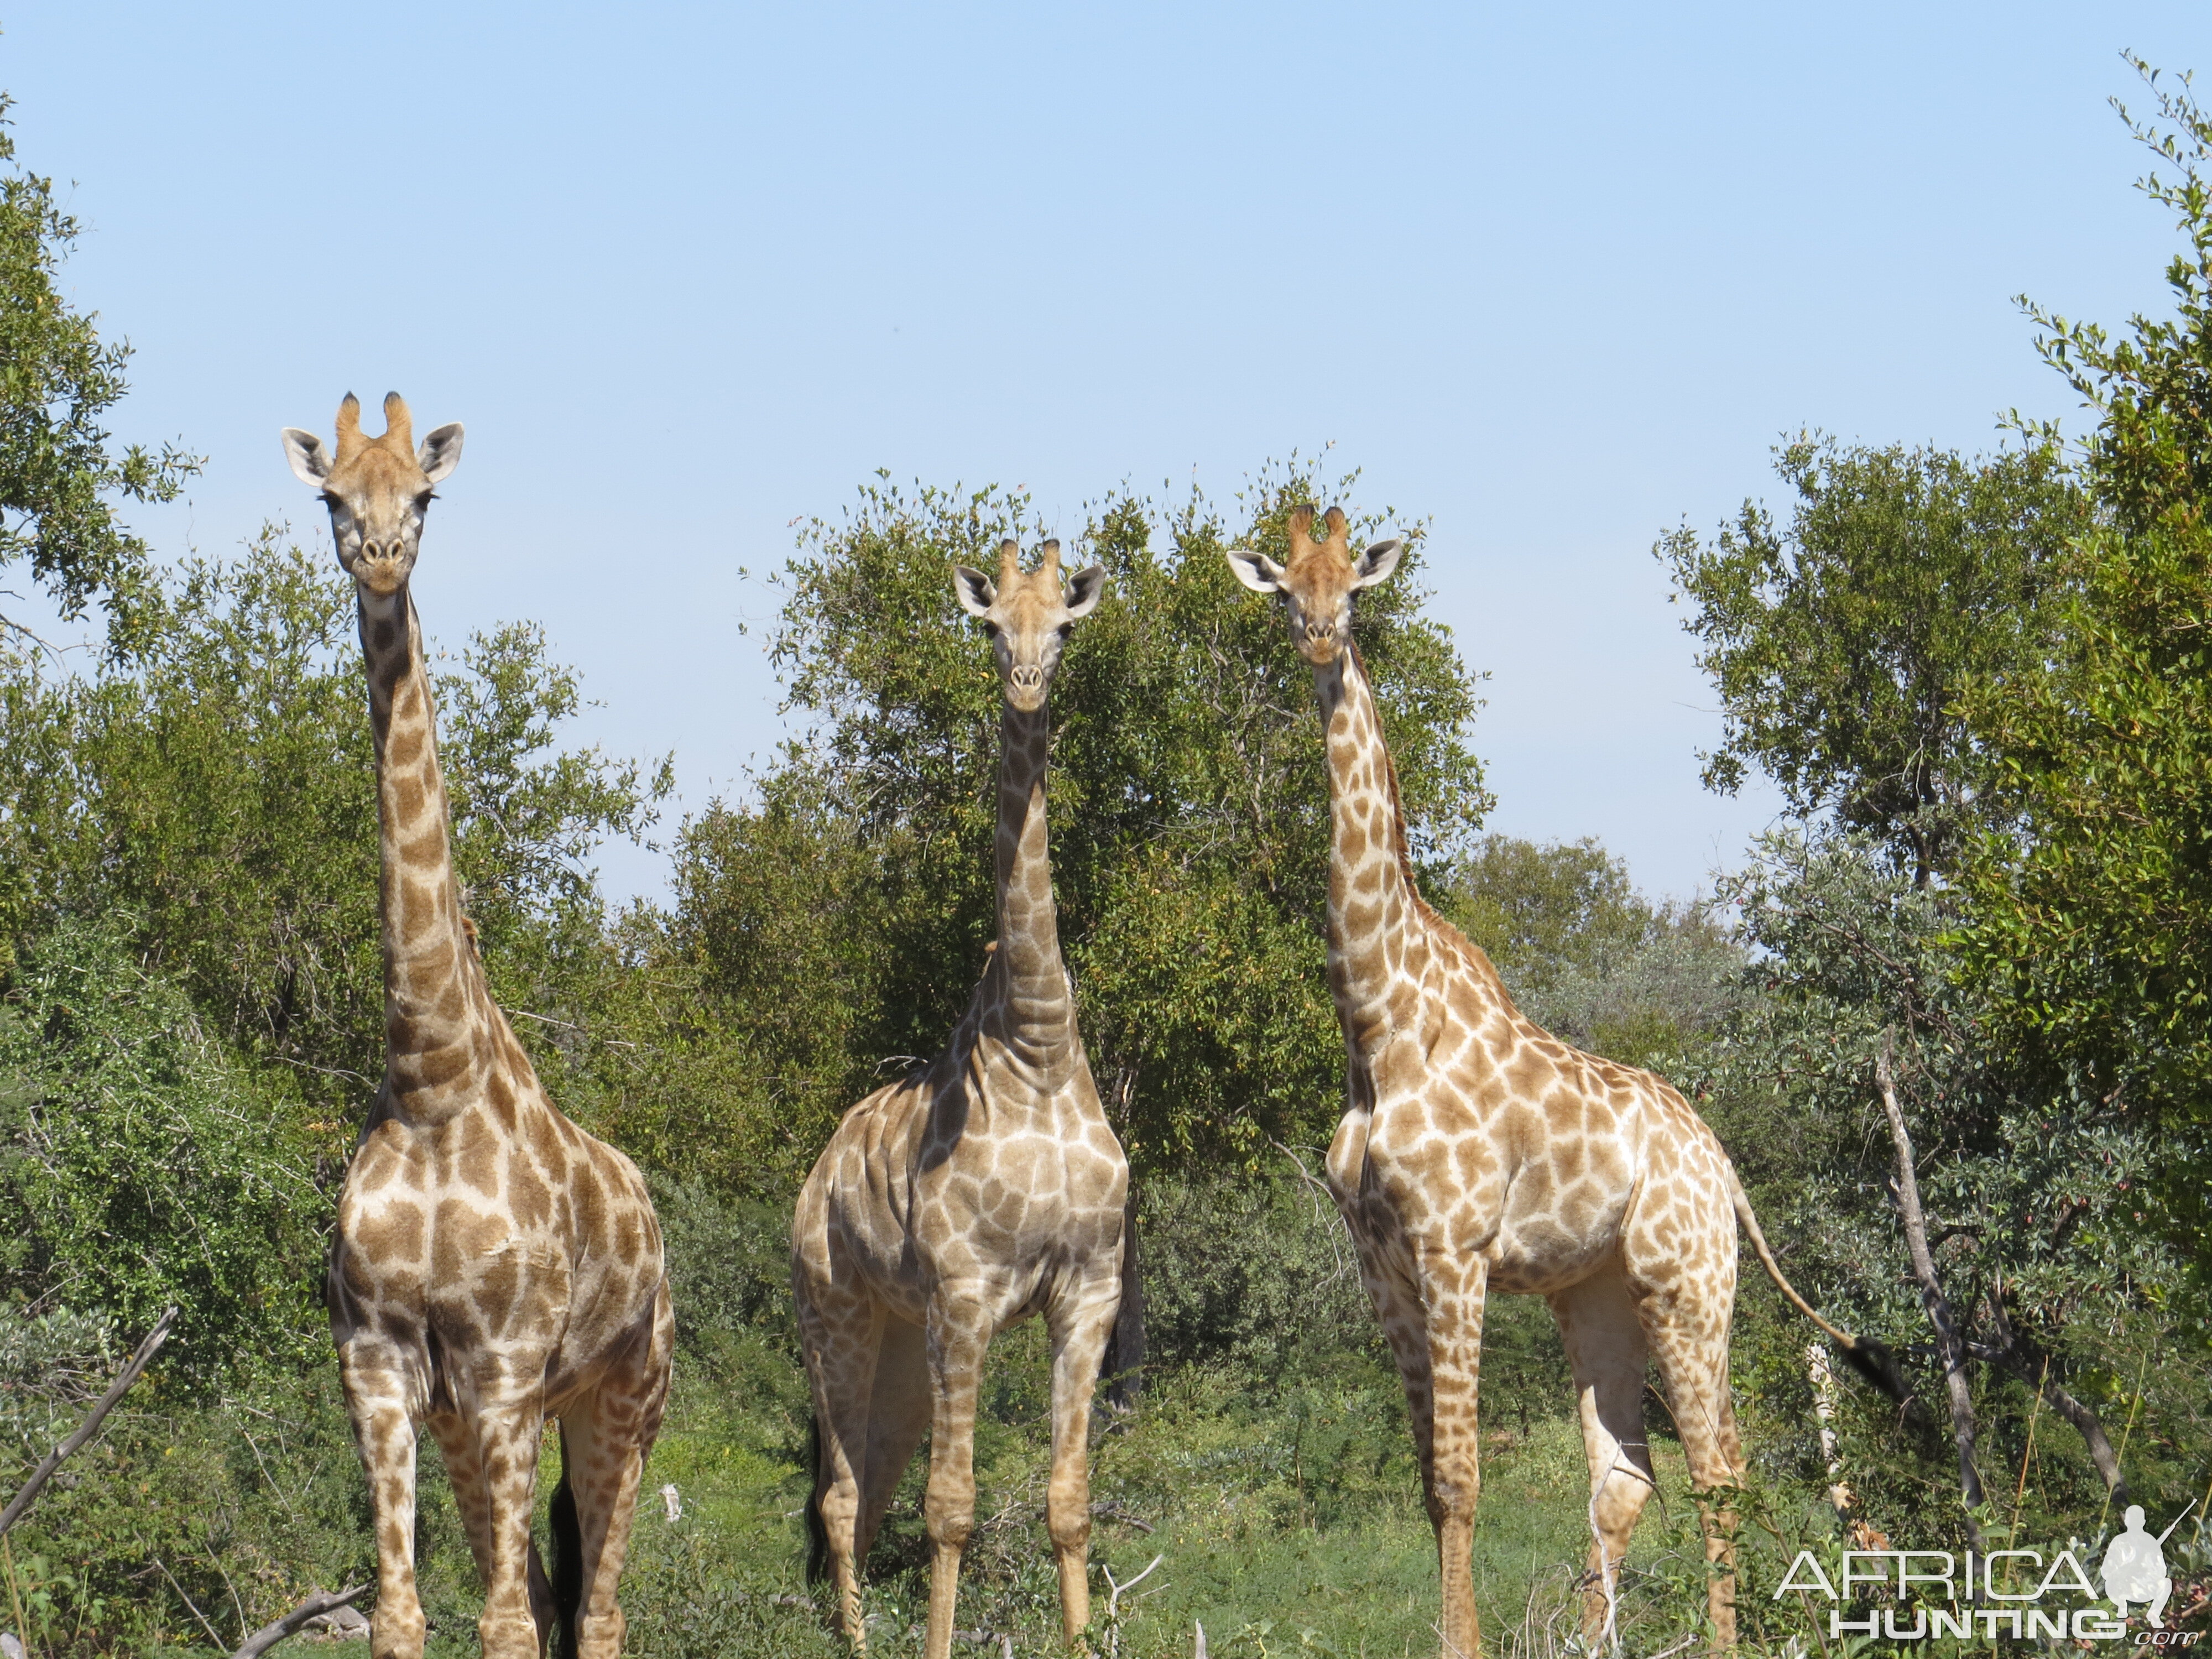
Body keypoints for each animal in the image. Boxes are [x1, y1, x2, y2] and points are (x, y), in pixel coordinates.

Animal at [290, 400, 677, 1659]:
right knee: (559, 1601)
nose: (378, 559)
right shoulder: (380, 1367)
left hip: (624, 1398)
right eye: (331, 496)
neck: (431, 1073)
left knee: (597, 1612)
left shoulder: (509, 1369)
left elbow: (504, 1624)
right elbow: (402, 1617)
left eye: (425, 496)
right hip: (475, 1420)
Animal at [792, 540, 1124, 1659]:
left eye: (1061, 626)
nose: (1024, 684)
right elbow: (954, 1509)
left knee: (867, 1486)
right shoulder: (970, 1296)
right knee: (845, 1496)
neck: (1040, 1044)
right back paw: (853, 1644)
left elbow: (1069, 1502)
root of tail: (817, 1174)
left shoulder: (1090, 1291)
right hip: (836, 1313)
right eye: (988, 626)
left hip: (900, 1339)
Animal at [1221, 511, 1893, 1659]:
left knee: (1722, 1468)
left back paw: (1724, 1637)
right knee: (1628, 1474)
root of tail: (1724, 1165)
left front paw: (1461, 1645)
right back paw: (1600, 1638)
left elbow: (1461, 1480)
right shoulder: (1383, 1265)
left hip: (1688, 1281)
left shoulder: (1454, 1249)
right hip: (1600, 1292)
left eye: (1351, 587)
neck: (1378, 1025)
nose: (1318, 636)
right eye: (1284, 590)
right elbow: (1431, 1484)